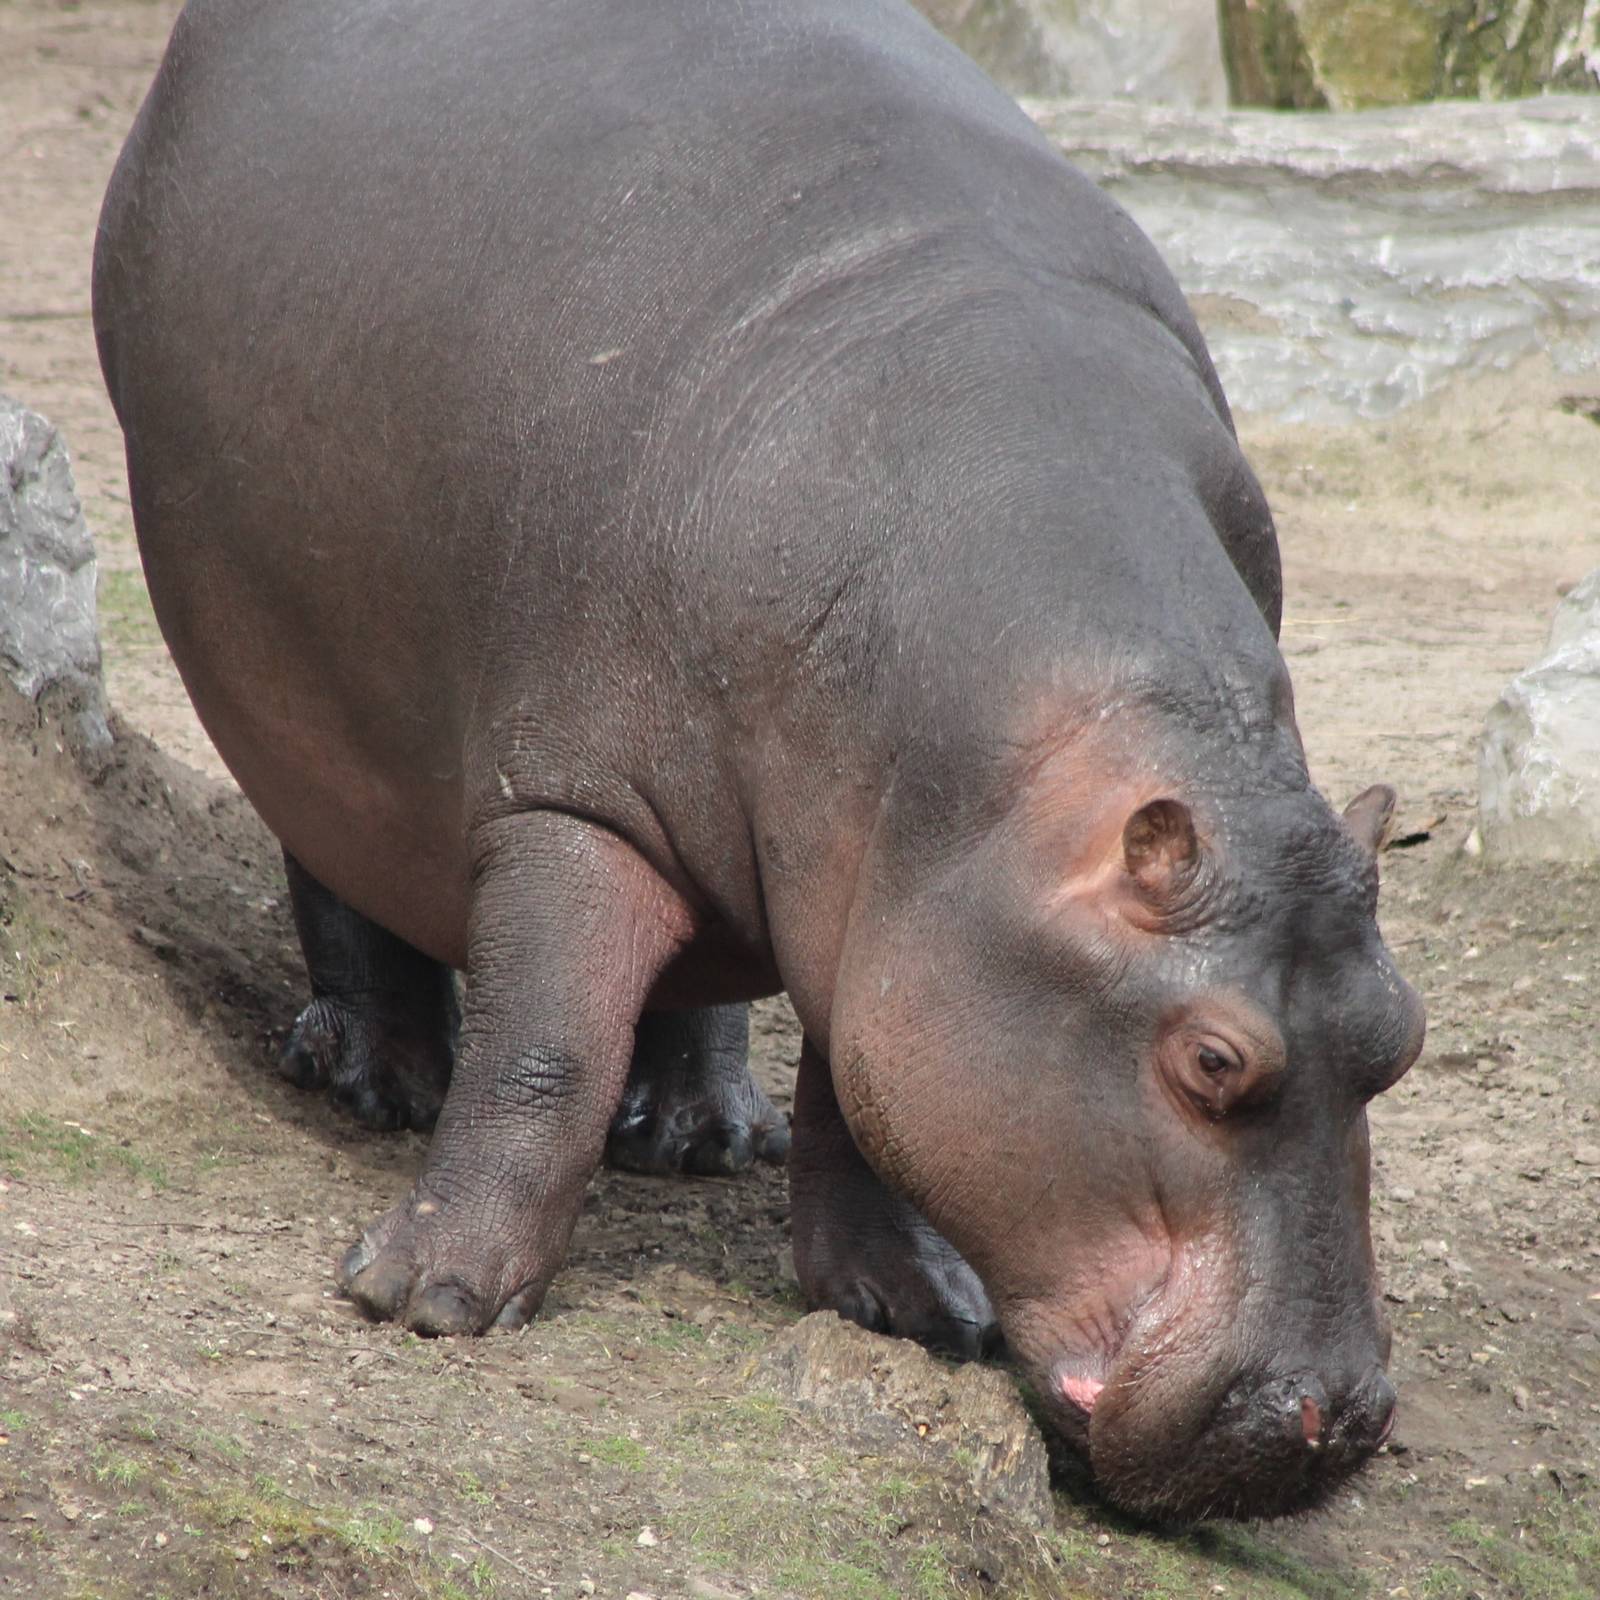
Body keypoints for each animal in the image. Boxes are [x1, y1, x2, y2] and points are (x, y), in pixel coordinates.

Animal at [93, 0, 1425, 1521]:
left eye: (1401, 1038)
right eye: (1212, 1059)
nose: (1328, 1417)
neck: (1030, 774)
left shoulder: (886, 911)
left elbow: (858, 1095)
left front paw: (915, 1310)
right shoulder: (578, 806)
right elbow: (545, 1046)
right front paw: (424, 1295)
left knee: (702, 983)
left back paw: (700, 1134)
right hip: (292, 666)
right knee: (339, 856)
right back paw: (381, 1077)